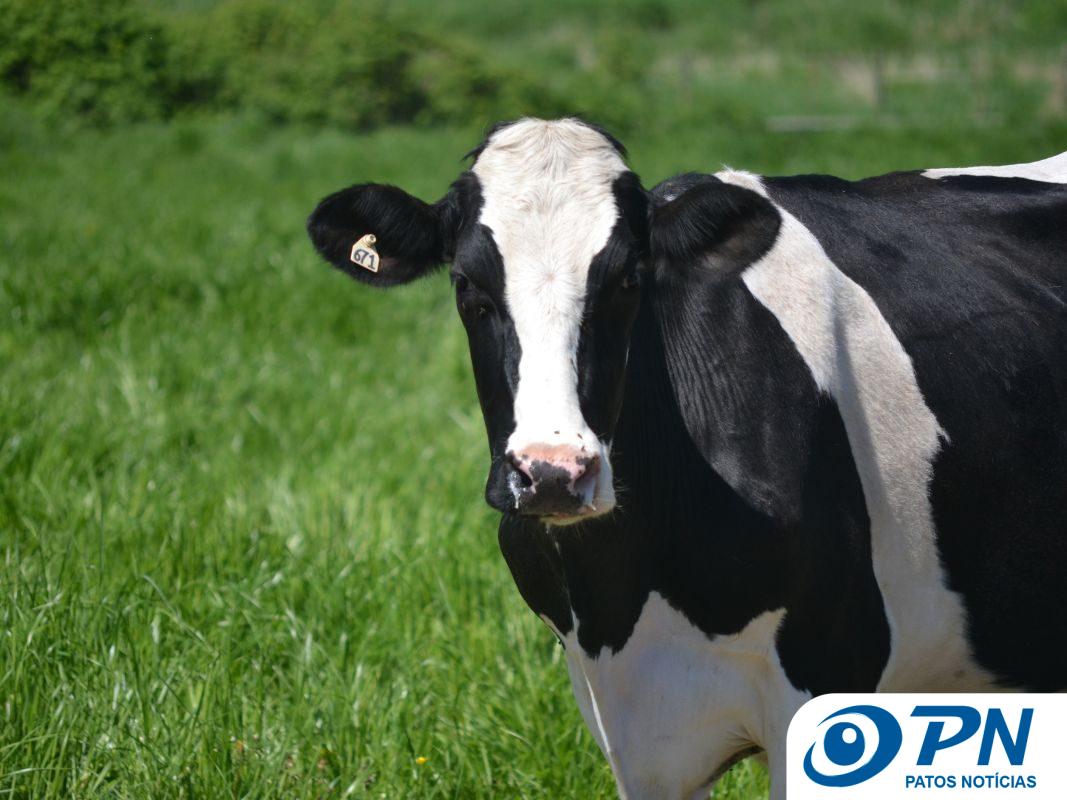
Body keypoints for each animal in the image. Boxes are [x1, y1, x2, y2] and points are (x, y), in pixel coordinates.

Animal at [306, 117, 1067, 799]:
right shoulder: (633, 728)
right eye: (467, 283)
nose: (552, 473)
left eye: (627, 279)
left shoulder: (828, 678)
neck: (624, 590)